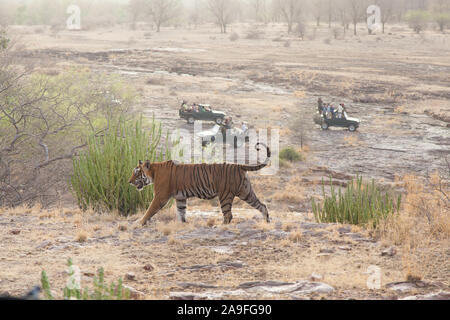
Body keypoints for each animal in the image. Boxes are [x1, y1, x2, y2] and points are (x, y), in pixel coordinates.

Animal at [128, 142, 272, 225]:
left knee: (228, 215)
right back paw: (267, 221)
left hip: (225, 195)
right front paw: (183, 224)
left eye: (136, 172)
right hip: (246, 192)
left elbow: (149, 211)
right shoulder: (180, 197)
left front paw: (139, 222)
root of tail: (238, 165)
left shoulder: (160, 196)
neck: (153, 172)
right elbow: (181, 212)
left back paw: (220, 226)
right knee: (262, 205)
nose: (129, 182)